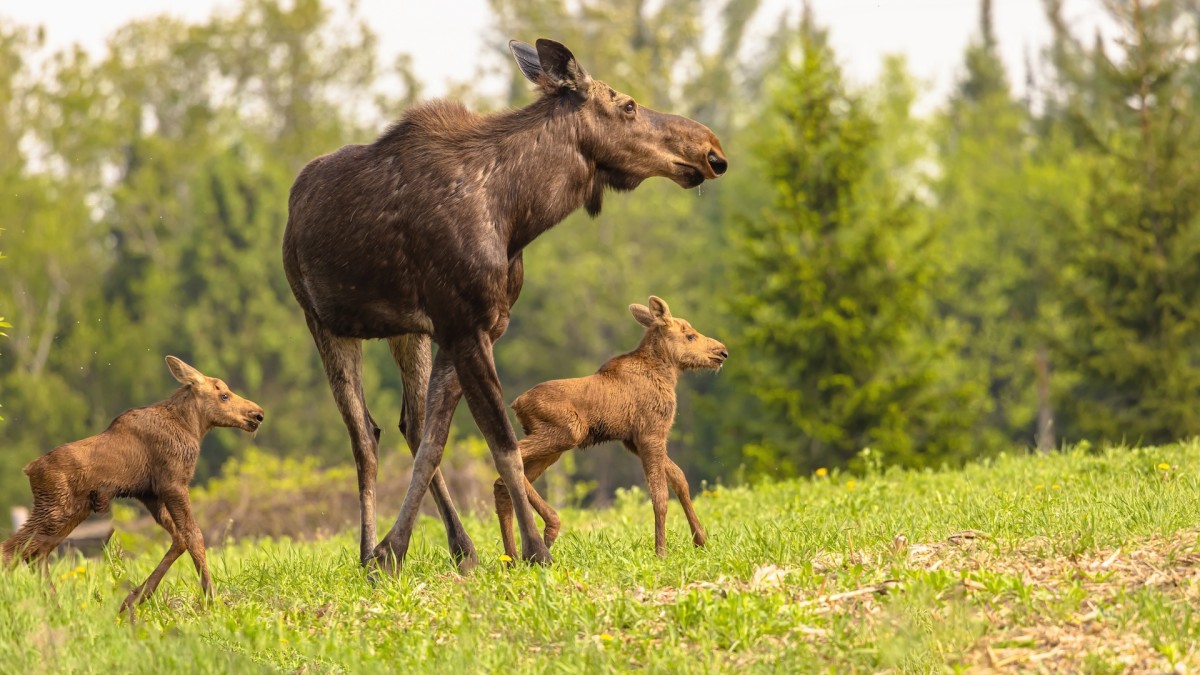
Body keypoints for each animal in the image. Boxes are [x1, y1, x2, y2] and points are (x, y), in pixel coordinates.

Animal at [1, 357, 265, 610]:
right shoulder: (174, 484)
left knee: (36, 553)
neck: (192, 427)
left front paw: (136, 597)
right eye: (224, 395)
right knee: (13, 549)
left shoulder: (150, 494)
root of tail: (29, 469)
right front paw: (211, 598)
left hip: (75, 511)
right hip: (56, 508)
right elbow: (194, 536)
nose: (258, 414)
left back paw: (56, 607)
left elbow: (179, 539)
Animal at [492, 294, 724, 557]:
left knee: (505, 483)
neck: (667, 374)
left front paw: (701, 540)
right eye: (690, 336)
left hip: (552, 447)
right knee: (505, 462)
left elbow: (680, 479)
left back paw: (512, 557)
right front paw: (661, 552)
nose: (722, 352)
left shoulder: (633, 440)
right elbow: (660, 496)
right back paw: (551, 527)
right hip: (568, 432)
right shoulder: (650, 433)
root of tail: (517, 404)